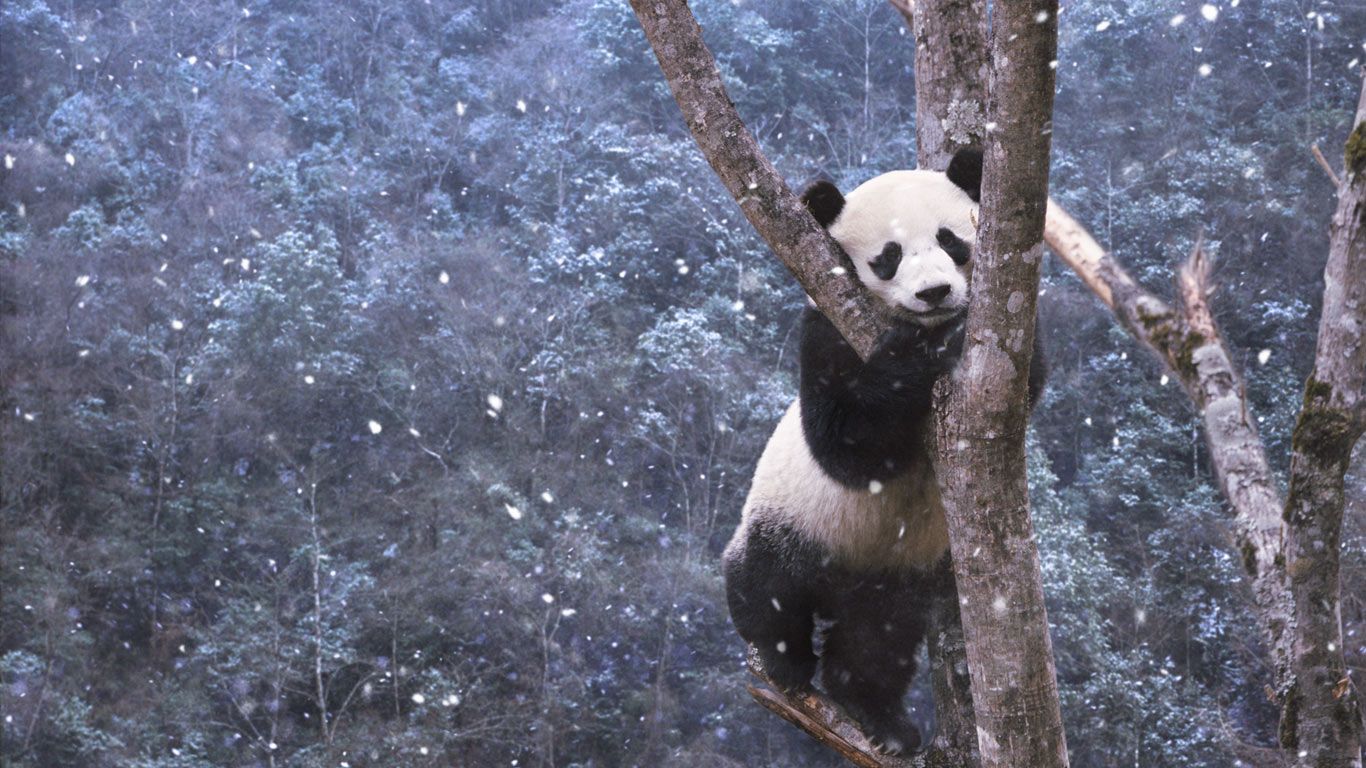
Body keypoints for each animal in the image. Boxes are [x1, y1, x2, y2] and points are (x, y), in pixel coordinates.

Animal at [722, 148, 1045, 755]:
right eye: (888, 257)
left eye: (951, 240)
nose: (934, 293)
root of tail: (840, 583)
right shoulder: (825, 330)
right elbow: (846, 443)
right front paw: (918, 352)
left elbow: (1024, 377)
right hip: (791, 516)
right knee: (764, 583)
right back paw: (785, 662)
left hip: (891, 575)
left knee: (876, 642)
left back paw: (883, 721)